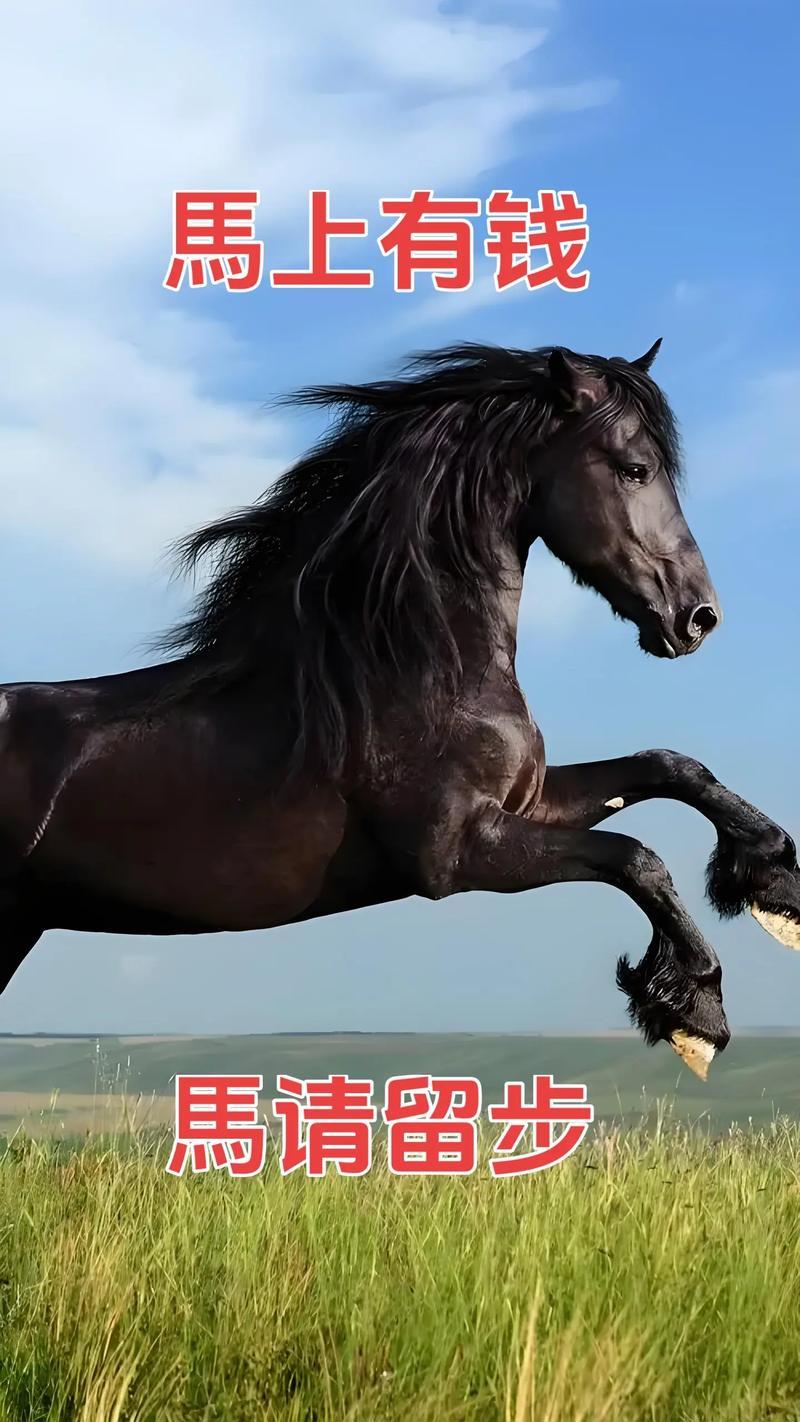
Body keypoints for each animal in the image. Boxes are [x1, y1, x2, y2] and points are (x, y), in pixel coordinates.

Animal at [1, 340, 798, 1075]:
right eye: (634, 468)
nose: (698, 617)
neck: (410, 671)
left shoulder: (529, 801)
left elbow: (670, 767)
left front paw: (772, 880)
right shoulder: (458, 855)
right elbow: (637, 858)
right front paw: (696, 1011)